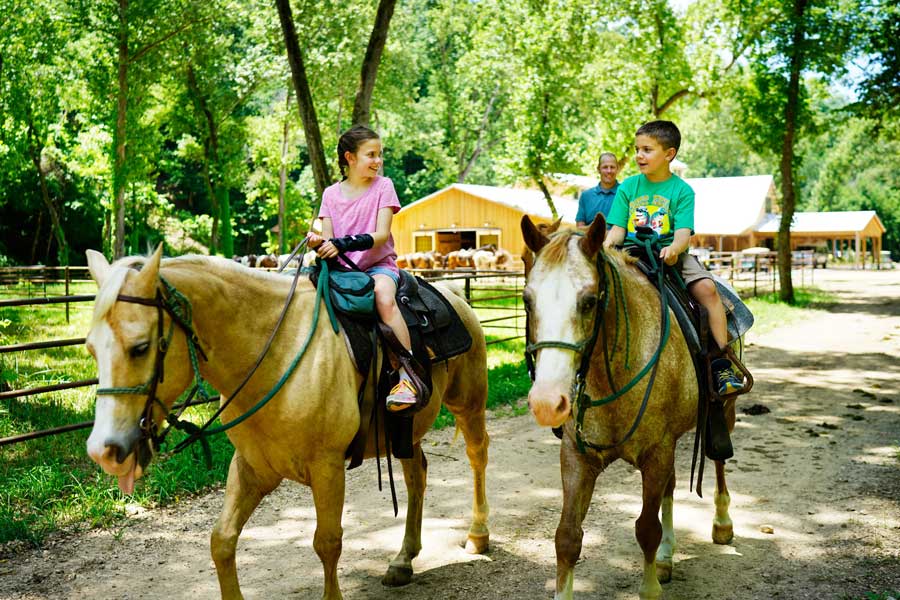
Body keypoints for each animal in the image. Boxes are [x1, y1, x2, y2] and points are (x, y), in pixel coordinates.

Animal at [86, 245, 492, 600]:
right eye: (90, 347)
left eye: (140, 347)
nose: (103, 451)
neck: (276, 353)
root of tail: (455, 294)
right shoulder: (251, 467)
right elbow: (222, 540)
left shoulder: (327, 468)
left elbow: (327, 542)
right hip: (404, 430)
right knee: (416, 476)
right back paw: (403, 560)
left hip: (468, 405)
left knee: (477, 456)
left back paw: (478, 535)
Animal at [516, 217, 736, 600]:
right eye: (528, 300)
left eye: (589, 301)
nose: (547, 402)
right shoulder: (577, 456)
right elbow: (567, 538)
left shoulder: (655, 452)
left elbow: (646, 528)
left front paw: (649, 588)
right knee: (671, 487)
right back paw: (666, 556)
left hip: (724, 411)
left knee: (719, 462)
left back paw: (722, 523)